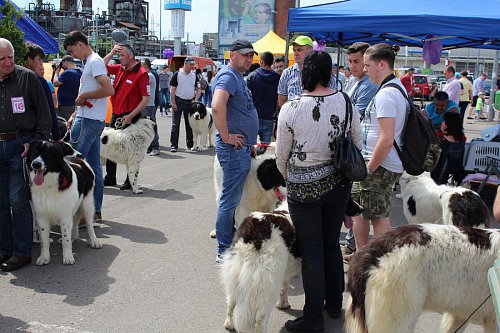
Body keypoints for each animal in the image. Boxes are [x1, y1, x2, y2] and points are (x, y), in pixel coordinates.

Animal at [220, 200, 298, 332]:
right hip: (268, 284)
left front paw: (283, 303)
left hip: (234, 273)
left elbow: (285, 286)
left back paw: (229, 324)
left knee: (230, 305)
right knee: (260, 319)